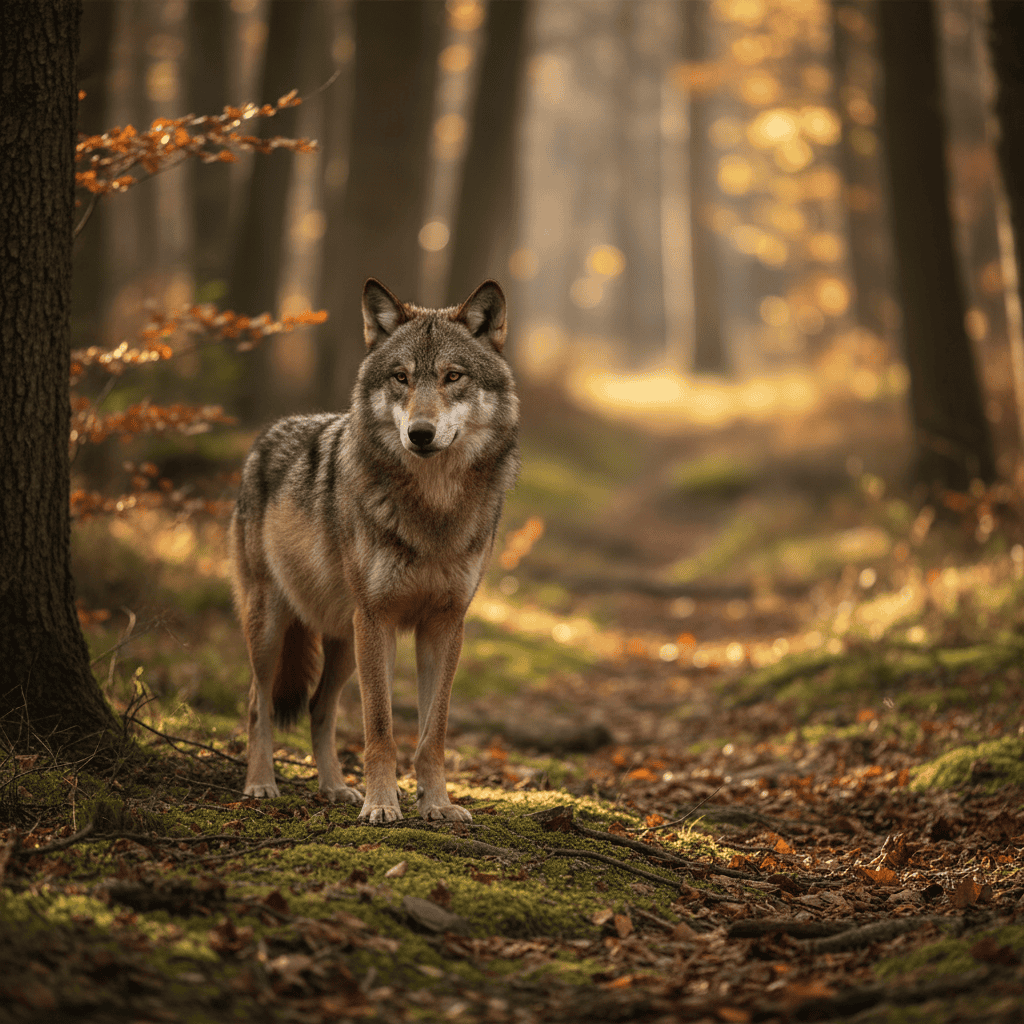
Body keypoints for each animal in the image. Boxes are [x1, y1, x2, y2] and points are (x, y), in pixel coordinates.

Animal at [229, 278, 519, 824]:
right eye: (401, 377)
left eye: (453, 376)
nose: (420, 434)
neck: (433, 507)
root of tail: (264, 436)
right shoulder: (378, 618)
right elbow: (380, 728)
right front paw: (382, 804)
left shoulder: (445, 623)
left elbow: (433, 733)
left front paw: (438, 804)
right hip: (274, 626)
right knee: (259, 704)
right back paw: (261, 784)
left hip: (344, 642)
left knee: (319, 709)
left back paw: (335, 788)